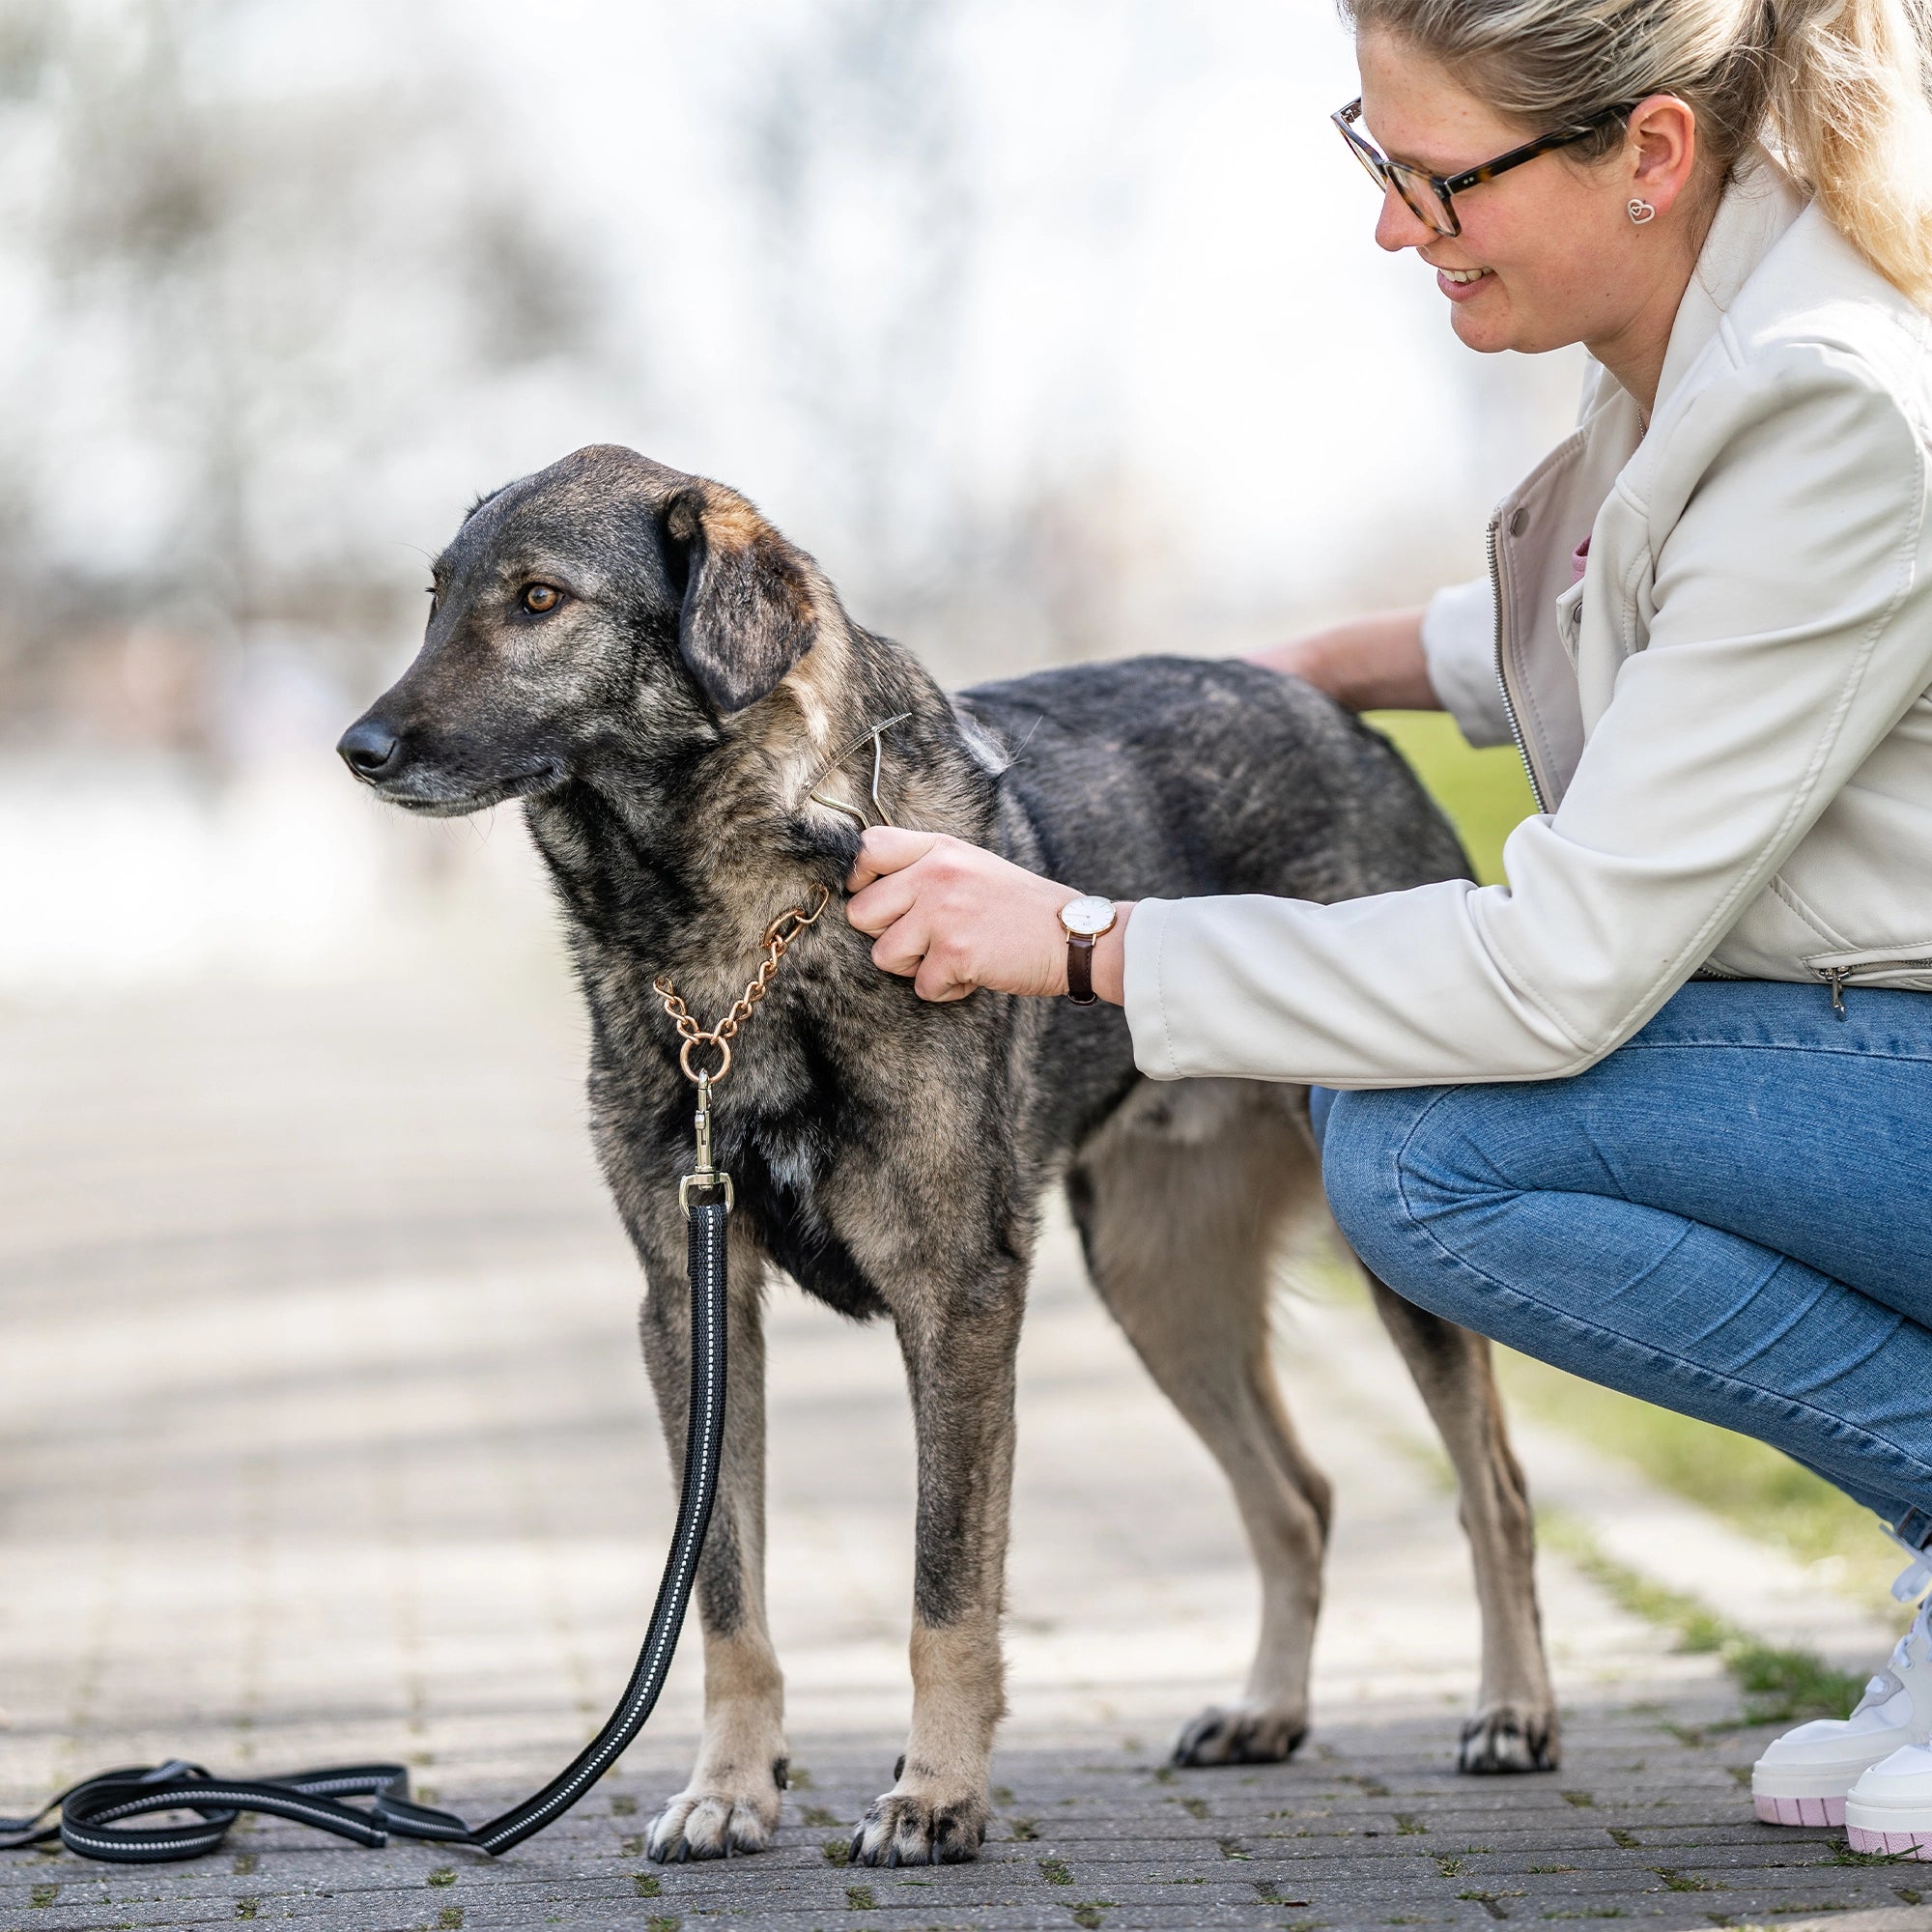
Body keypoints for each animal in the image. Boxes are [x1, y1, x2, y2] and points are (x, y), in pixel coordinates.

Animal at [340, 444, 1561, 1862]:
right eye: (438, 597)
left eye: (539, 598)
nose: (359, 749)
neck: (739, 931)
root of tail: (1329, 713)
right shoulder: (695, 1306)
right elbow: (726, 1597)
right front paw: (729, 1787)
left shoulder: (957, 1296)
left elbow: (945, 1590)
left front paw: (933, 1792)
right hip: (1156, 1286)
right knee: (1296, 1497)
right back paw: (1267, 1709)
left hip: (1365, 1270)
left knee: (1494, 1491)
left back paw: (1512, 1713)